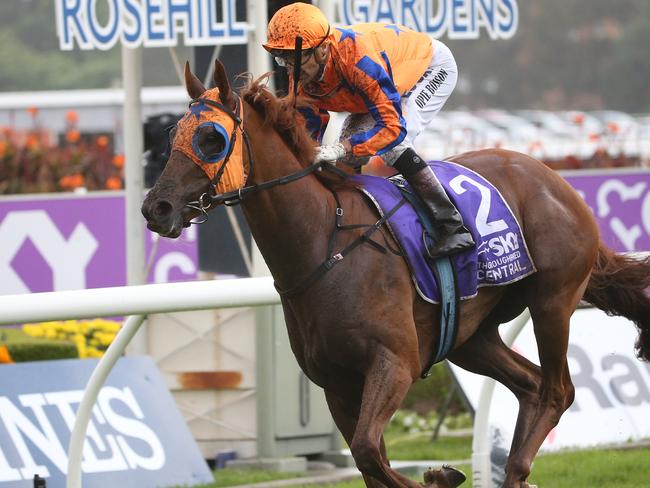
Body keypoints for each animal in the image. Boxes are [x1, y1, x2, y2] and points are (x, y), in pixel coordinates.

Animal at [142, 62, 648, 488]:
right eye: (171, 133)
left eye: (211, 138)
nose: (155, 208)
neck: (324, 244)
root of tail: (554, 180)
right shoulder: (337, 384)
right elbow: (369, 461)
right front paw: (440, 475)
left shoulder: (394, 363)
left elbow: (369, 452)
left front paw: (441, 476)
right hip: (470, 336)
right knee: (529, 386)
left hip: (552, 301)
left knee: (557, 390)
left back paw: (518, 467)